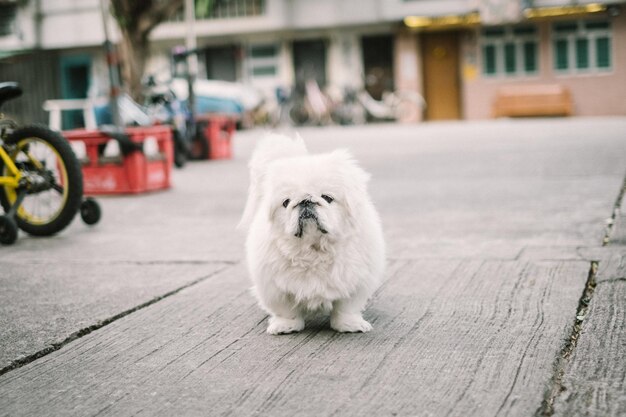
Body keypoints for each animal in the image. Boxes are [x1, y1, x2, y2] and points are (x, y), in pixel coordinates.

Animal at [239, 133, 386, 334]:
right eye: (286, 202)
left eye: (327, 198)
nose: (305, 200)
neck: (314, 250)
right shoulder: (274, 287)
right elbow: (286, 310)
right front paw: (286, 326)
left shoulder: (355, 281)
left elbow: (347, 308)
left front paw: (350, 324)